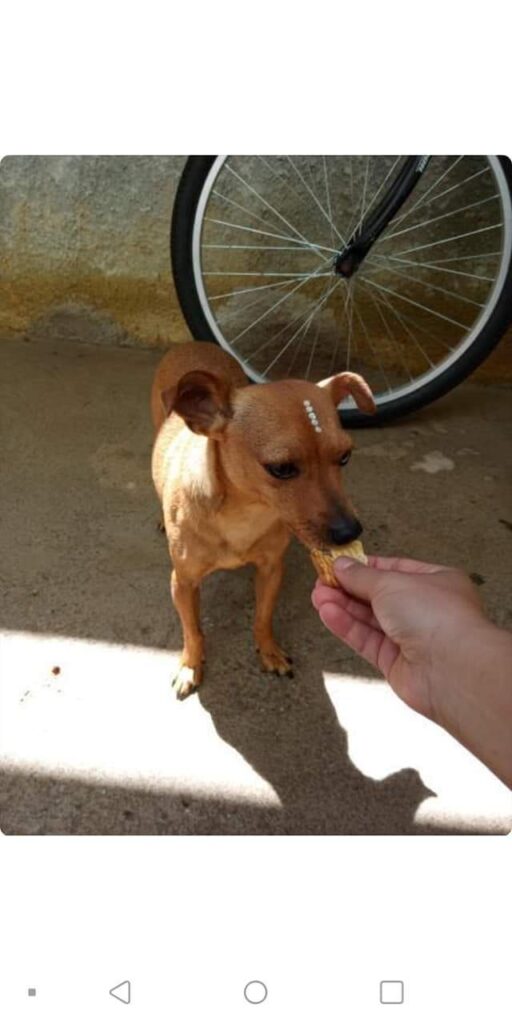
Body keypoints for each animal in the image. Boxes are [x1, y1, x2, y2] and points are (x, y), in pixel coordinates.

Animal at [149, 339, 374, 700]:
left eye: (345, 457)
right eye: (281, 469)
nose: (350, 532)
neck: (244, 514)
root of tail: (192, 343)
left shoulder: (271, 571)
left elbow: (263, 617)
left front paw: (268, 651)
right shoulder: (182, 583)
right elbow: (192, 630)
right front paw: (190, 665)